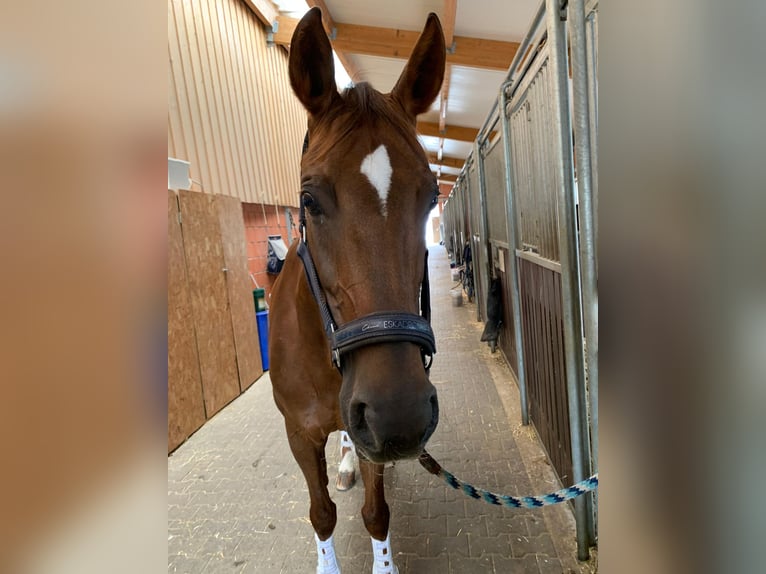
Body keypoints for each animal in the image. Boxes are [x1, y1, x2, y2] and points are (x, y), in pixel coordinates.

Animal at [270, 7, 448, 574]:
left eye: (431, 197)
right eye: (309, 198)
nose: (400, 414)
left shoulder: (374, 436)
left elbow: (377, 514)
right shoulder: (299, 435)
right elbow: (321, 513)